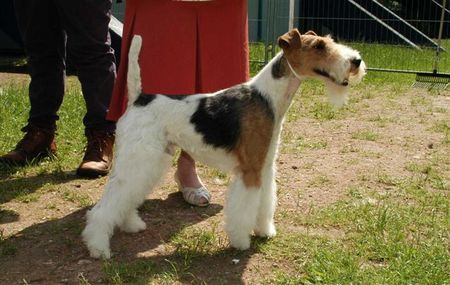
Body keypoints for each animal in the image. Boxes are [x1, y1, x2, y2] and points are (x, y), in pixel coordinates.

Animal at [83, 28, 366, 258]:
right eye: (318, 46)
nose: (356, 61)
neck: (267, 98)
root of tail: (139, 98)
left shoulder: (265, 167)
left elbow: (266, 202)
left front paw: (264, 230)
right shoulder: (250, 170)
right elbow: (244, 209)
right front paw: (241, 241)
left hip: (150, 160)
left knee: (126, 196)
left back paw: (131, 224)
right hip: (140, 157)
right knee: (105, 206)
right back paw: (99, 248)